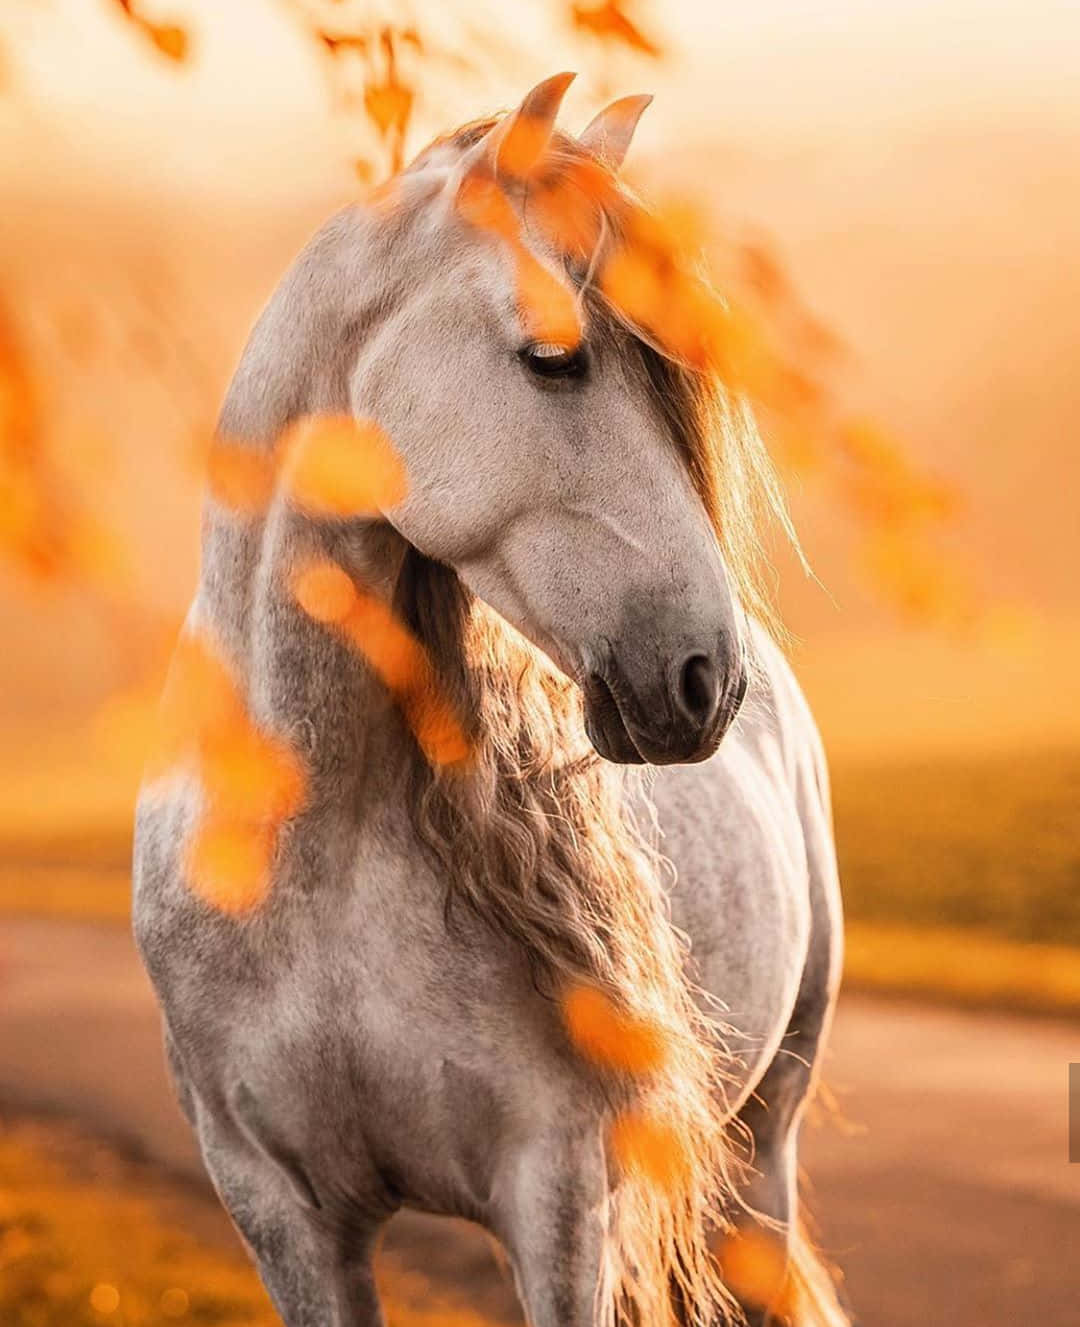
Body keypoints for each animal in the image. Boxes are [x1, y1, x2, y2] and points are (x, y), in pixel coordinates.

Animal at [133, 75, 848, 1327]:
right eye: (553, 358)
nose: (705, 678)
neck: (313, 853)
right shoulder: (280, 1211)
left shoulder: (556, 1190)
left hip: (763, 1144)